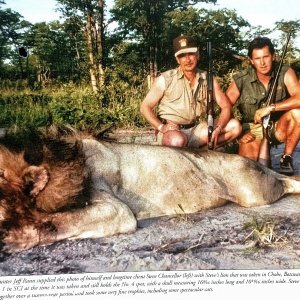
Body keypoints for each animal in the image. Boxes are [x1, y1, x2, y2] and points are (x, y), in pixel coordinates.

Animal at [0, 137, 300, 253]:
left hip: (253, 190)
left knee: (285, 182)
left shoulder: (117, 210)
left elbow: (61, 221)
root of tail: (256, 163)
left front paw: (15, 238)